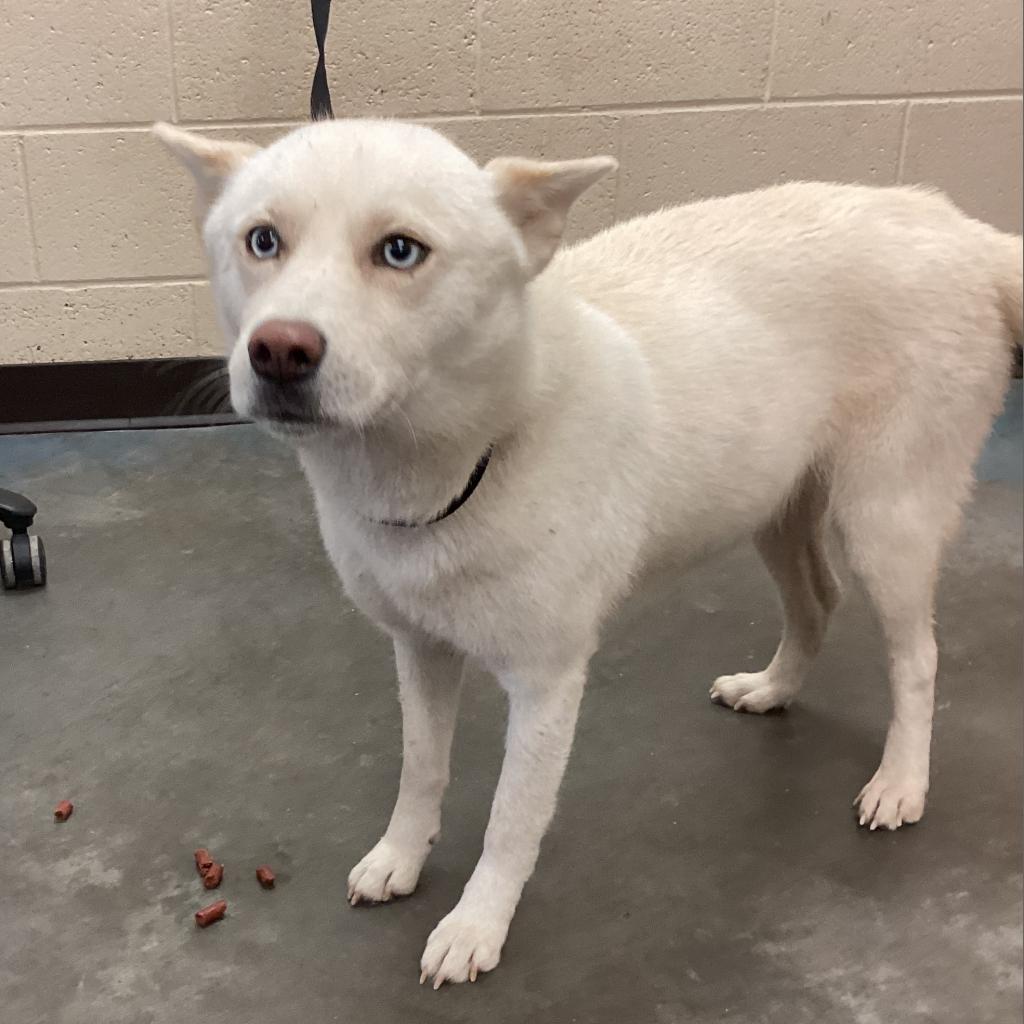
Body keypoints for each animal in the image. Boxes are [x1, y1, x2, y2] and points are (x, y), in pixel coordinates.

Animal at [155, 117, 1019, 983]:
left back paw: (901, 783)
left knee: (917, 659)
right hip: (772, 505)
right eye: (263, 240)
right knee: (816, 602)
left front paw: (477, 924)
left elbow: (510, 818)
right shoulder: (421, 650)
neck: (474, 446)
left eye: (400, 251)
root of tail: (959, 230)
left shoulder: (546, 684)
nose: (279, 351)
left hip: (886, 524)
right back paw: (772, 689)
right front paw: (401, 857)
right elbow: (421, 769)